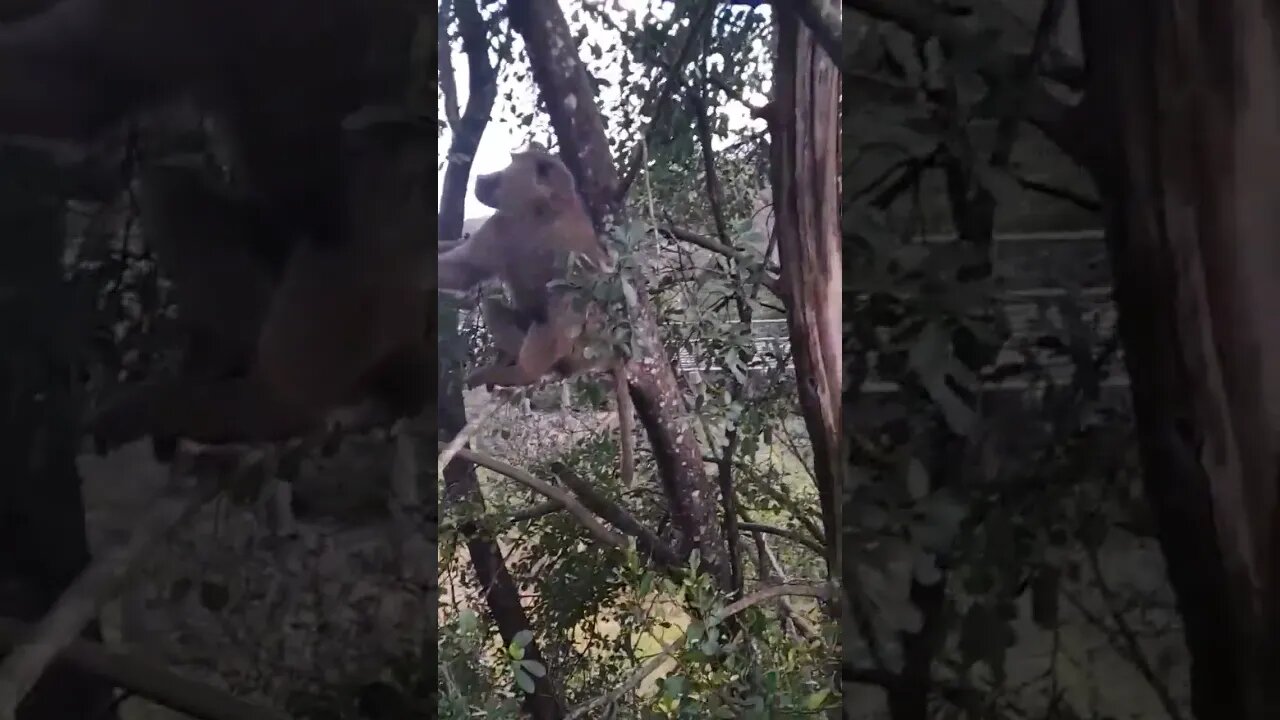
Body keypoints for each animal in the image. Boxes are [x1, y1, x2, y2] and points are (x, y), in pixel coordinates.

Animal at [440, 146, 640, 484]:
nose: (482, 178)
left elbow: (565, 313)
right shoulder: (502, 225)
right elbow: (462, 269)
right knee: (499, 304)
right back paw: (508, 361)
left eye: (506, 169)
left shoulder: (564, 247)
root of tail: (610, 354)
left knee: (548, 325)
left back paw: (520, 372)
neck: (542, 212)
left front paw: (524, 373)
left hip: (579, 353)